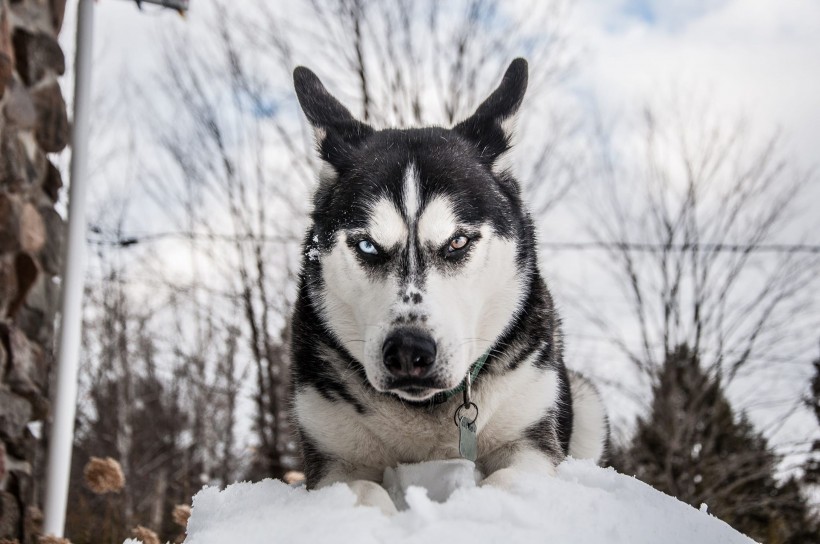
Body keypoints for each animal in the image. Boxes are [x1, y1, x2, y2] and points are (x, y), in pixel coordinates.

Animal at [292, 59, 604, 516]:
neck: (424, 412)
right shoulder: (335, 457)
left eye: (457, 242)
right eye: (367, 245)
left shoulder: (528, 441)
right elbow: (361, 491)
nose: (408, 350)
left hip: (586, 401)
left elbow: (507, 482)